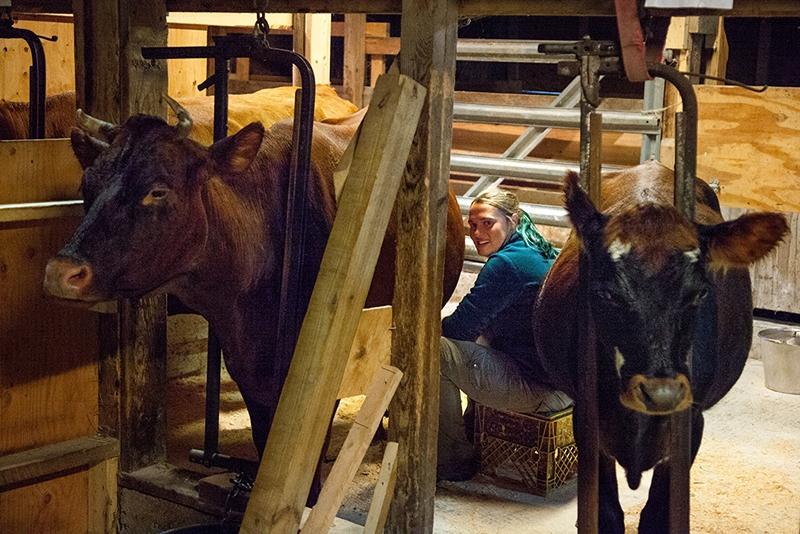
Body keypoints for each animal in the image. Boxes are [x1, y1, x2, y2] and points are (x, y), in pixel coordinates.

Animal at [533, 160, 788, 533]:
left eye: (700, 293)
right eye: (606, 292)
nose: (662, 393)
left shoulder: (690, 423)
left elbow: (657, 517)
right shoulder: (587, 418)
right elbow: (606, 514)